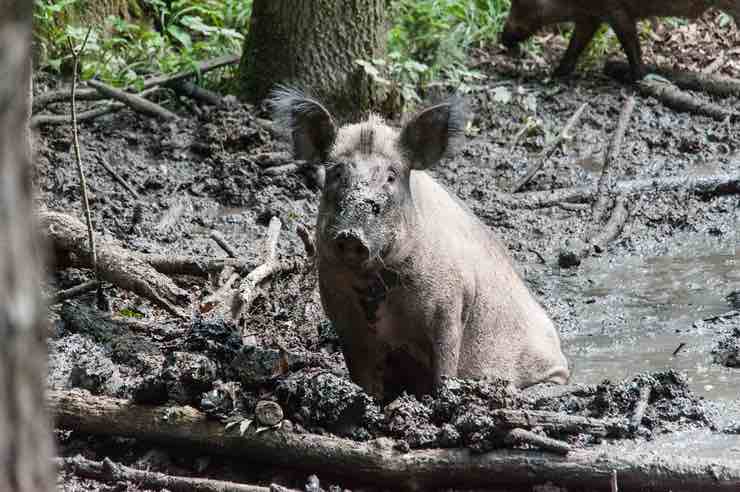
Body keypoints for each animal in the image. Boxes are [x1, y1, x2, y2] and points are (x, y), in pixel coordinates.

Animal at [270, 88, 568, 402]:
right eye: (337, 173)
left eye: (391, 176)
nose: (351, 235)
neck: (375, 286)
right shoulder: (343, 317)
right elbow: (362, 374)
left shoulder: (450, 308)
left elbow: (445, 366)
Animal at [500, 0, 736, 80]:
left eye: (519, 1)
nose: (503, 38)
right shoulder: (590, 16)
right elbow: (575, 46)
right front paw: (556, 74)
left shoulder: (617, 12)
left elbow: (631, 45)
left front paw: (641, 78)